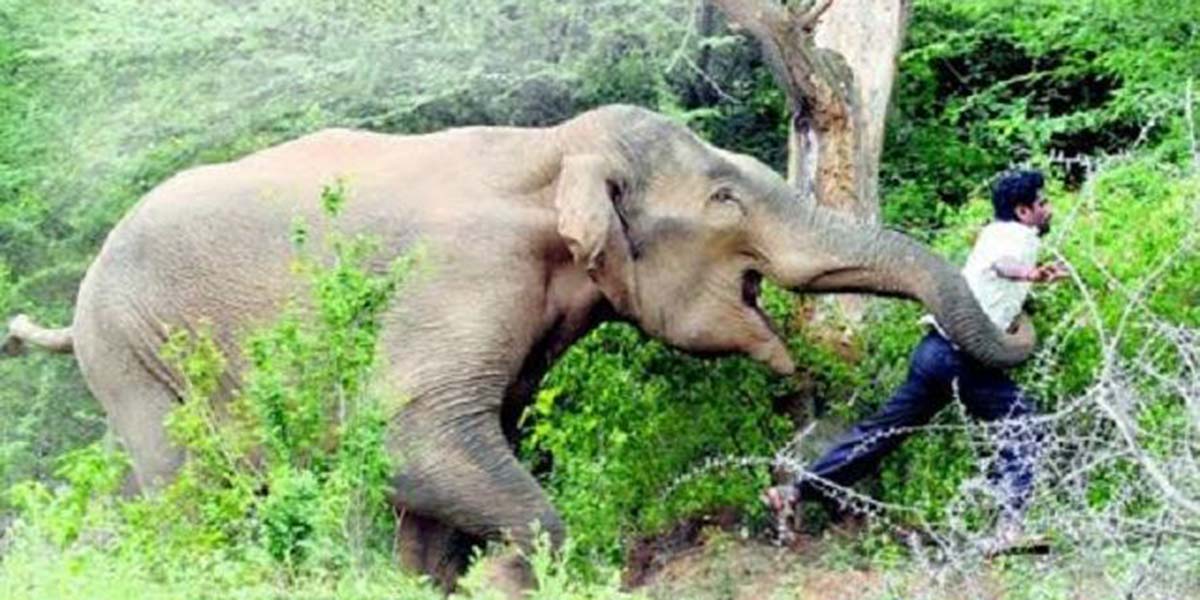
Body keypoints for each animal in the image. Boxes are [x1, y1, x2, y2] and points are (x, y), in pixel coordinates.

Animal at [3, 104, 1033, 590]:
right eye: (725, 200)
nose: (800, 400)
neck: (550, 150)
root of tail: (73, 307)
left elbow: (440, 462)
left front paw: (437, 582)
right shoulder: (463, 278)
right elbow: (415, 436)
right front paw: (510, 577)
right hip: (133, 352)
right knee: (188, 490)